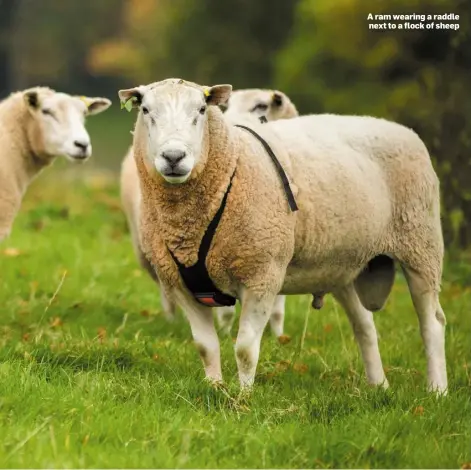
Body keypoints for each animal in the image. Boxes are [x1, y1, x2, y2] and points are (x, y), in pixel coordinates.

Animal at [121, 89, 298, 334]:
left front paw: (278, 336)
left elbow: (277, 306)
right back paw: (173, 321)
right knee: (166, 292)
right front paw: (224, 332)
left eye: (262, 106)